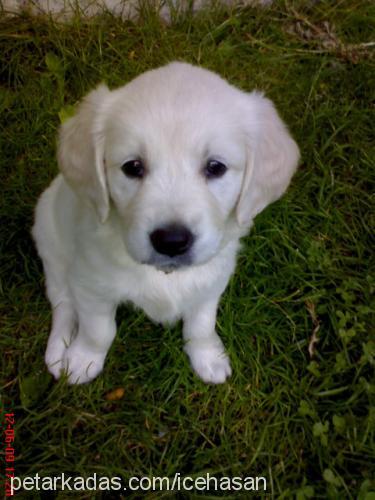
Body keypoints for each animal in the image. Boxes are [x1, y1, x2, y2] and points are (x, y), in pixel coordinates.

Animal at [33, 60, 302, 384]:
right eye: (132, 167)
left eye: (216, 167)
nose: (171, 241)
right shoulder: (89, 282)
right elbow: (98, 329)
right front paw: (83, 359)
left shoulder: (212, 281)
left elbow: (201, 324)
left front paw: (208, 356)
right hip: (50, 242)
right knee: (62, 303)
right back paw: (59, 350)